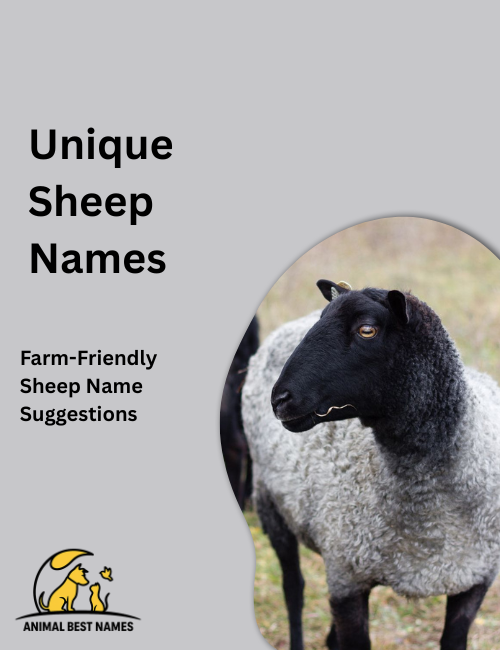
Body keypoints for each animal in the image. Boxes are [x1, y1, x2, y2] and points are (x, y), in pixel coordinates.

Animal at [242, 280, 500, 650]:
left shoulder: (474, 579)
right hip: (270, 503)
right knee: (294, 588)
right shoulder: (347, 580)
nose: (280, 399)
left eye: (367, 330)